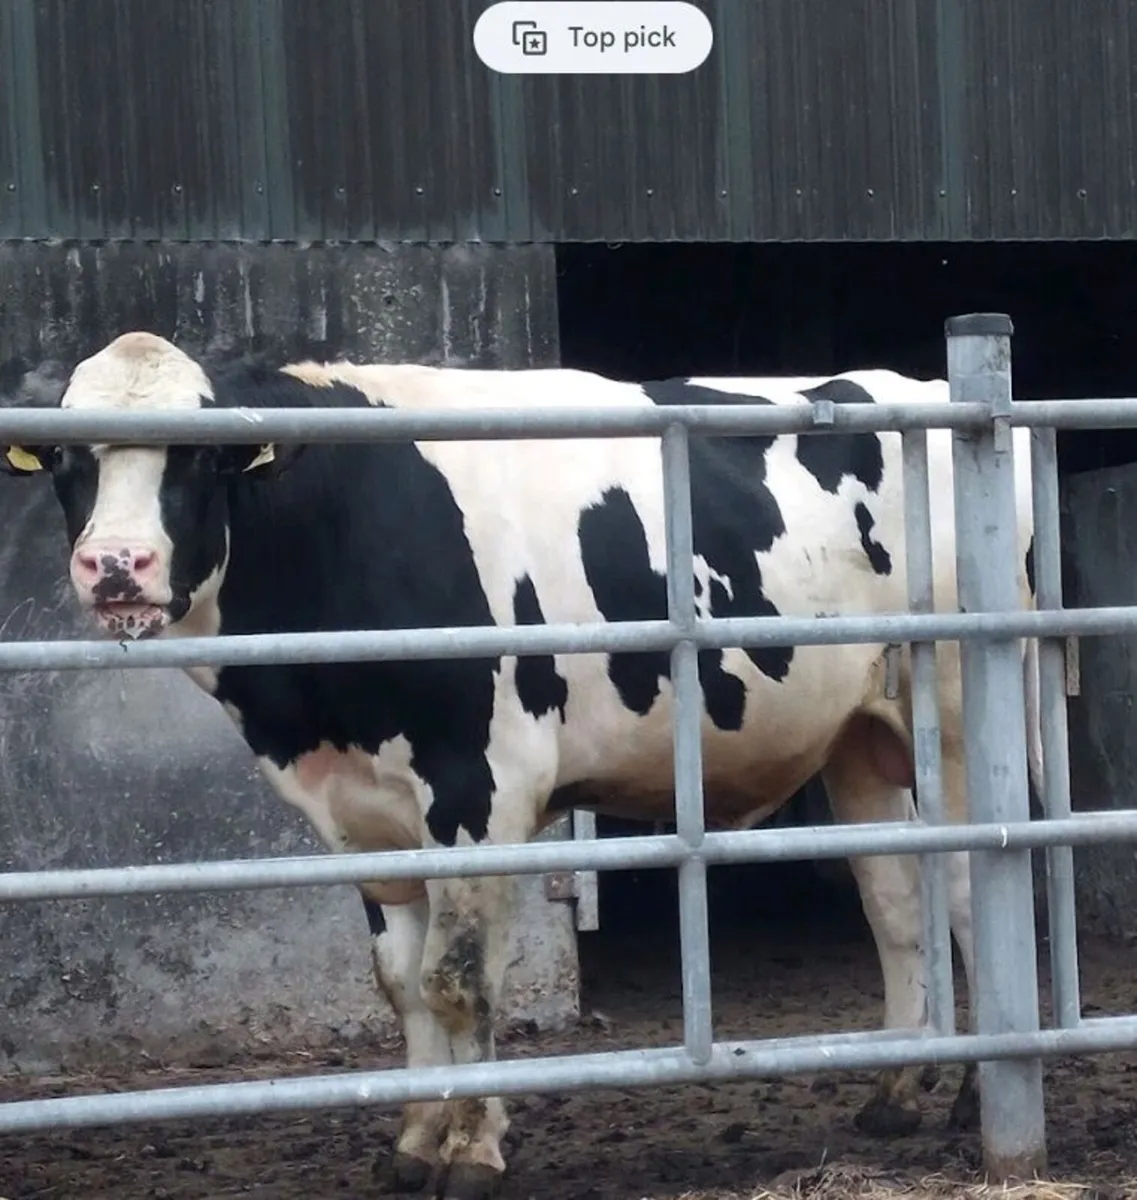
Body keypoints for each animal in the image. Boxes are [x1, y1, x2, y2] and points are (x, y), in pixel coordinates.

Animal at [0, 332, 1042, 1200]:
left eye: (194, 456)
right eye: (67, 461)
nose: (117, 566)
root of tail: (925, 385)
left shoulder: (477, 789)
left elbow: (457, 980)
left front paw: (471, 1150)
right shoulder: (357, 812)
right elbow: (399, 981)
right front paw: (413, 1144)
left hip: (955, 720)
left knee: (968, 889)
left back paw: (971, 1096)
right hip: (856, 736)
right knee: (898, 901)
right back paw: (900, 1090)